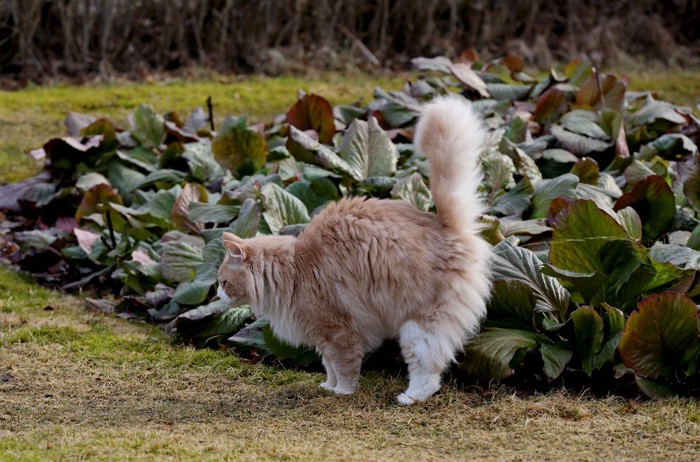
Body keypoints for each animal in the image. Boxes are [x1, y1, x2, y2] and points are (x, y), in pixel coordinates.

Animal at [219, 94, 492, 404]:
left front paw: (343, 392)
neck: (293, 269)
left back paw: (409, 397)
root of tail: (445, 224)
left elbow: (345, 367)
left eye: (223, 282)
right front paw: (328, 387)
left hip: (419, 326)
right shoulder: (324, 339)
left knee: (427, 371)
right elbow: (329, 367)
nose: (217, 295)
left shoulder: (339, 331)